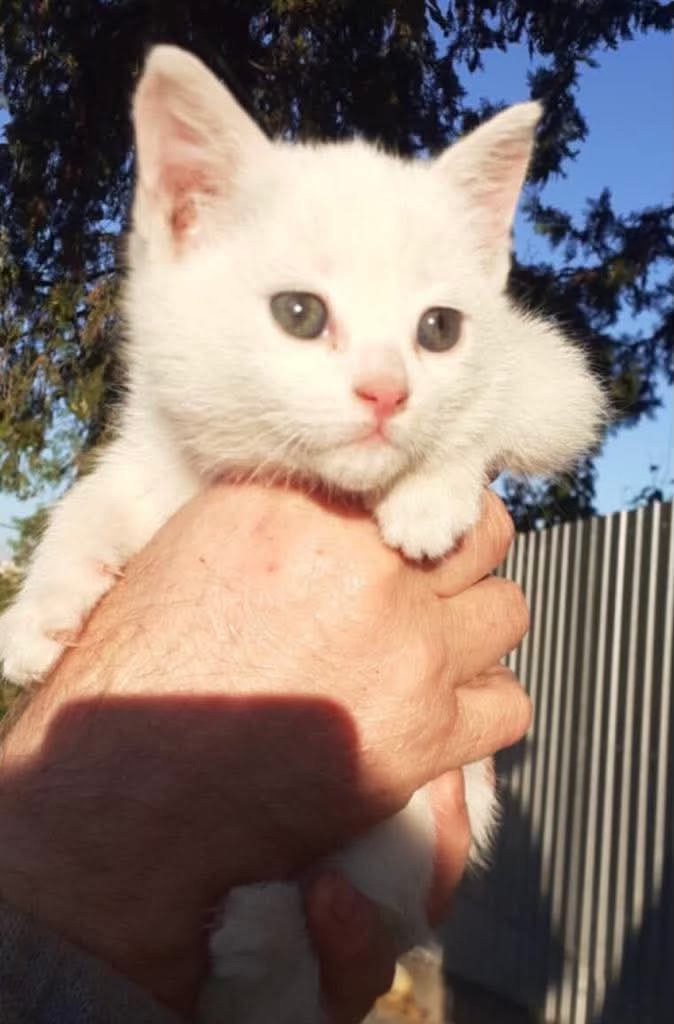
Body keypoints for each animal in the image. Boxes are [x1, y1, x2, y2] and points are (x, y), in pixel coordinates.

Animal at [0, 45, 606, 1024]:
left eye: (441, 329)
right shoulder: (155, 453)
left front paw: (431, 490)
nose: (386, 392)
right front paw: (38, 610)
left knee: (365, 899)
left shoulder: (546, 372)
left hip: (437, 805)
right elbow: (98, 496)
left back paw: (263, 937)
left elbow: (513, 400)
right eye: (299, 313)